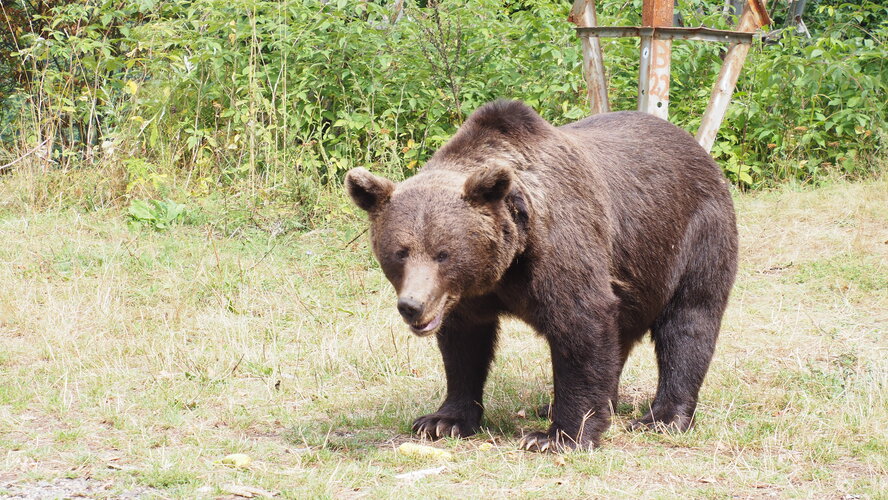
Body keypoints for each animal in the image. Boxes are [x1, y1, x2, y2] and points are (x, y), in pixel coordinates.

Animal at [344, 99, 740, 452]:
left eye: (444, 253)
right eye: (400, 252)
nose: (413, 305)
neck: (508, 262)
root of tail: (696, 147)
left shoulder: (561, 245)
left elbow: (580, 325)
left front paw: (558, 436)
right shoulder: (467, 296)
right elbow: (463, 346)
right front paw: (442, 420)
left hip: (693, 235)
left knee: (689, 321)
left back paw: (663, 418)